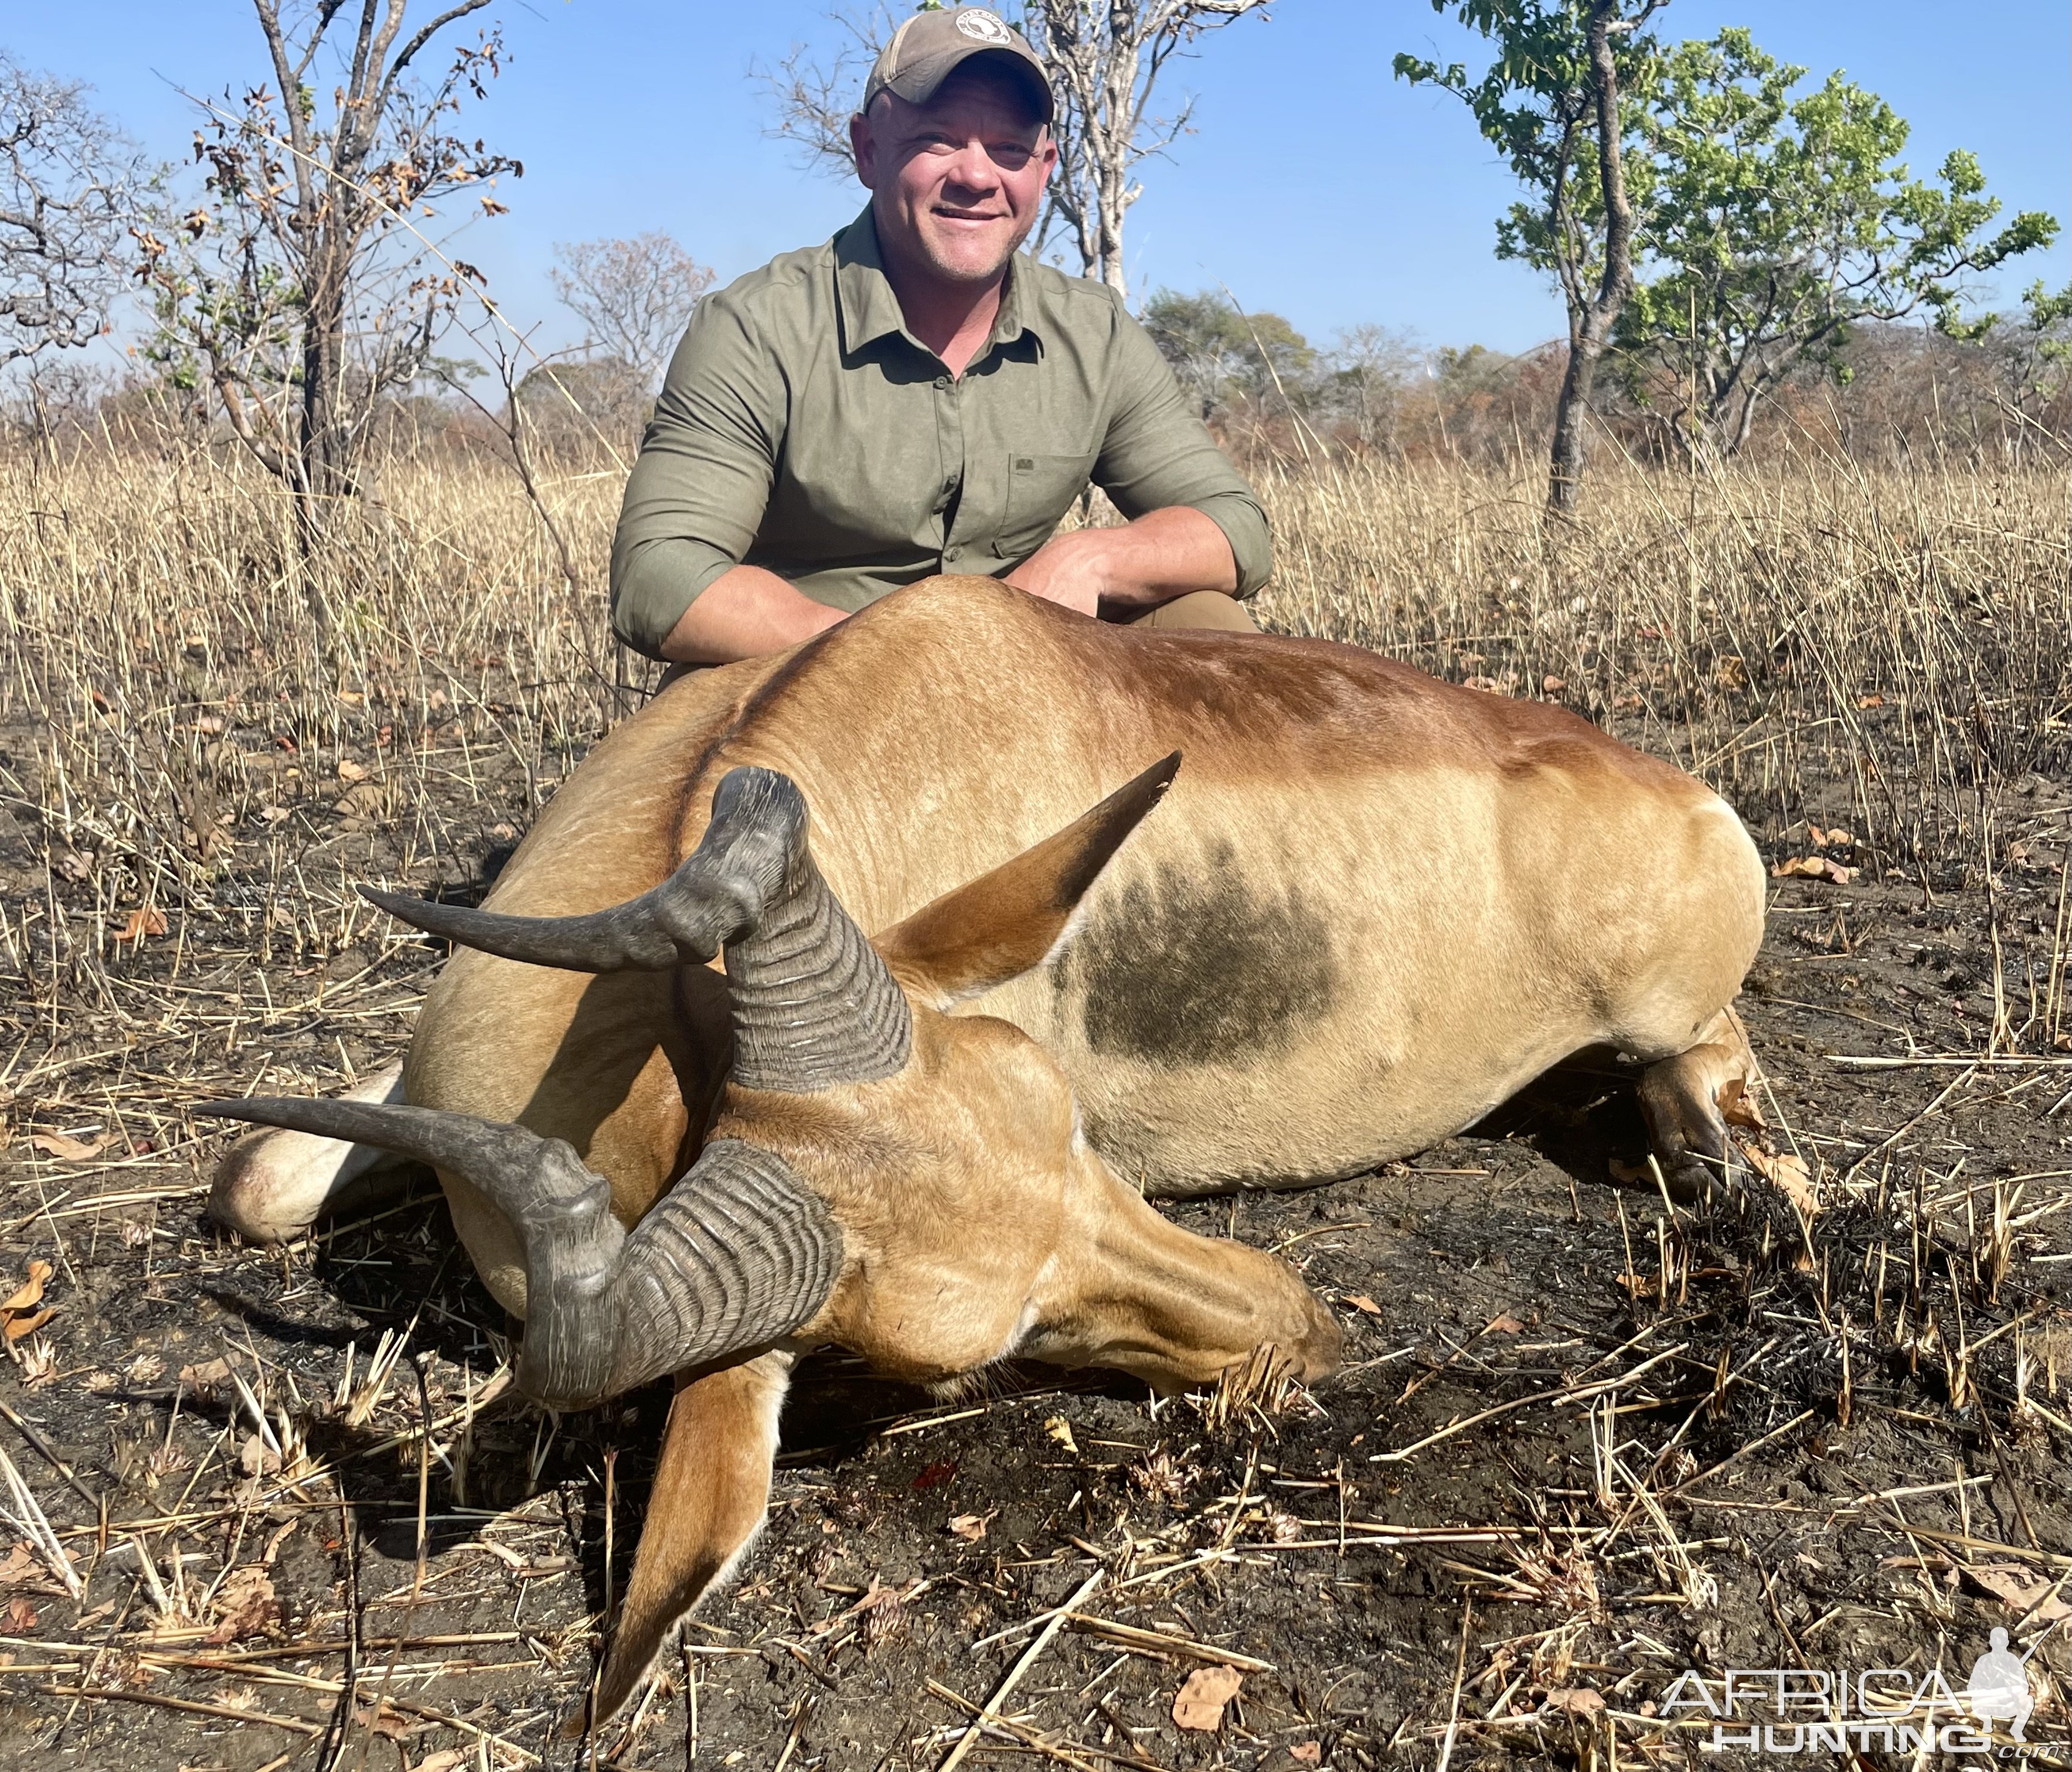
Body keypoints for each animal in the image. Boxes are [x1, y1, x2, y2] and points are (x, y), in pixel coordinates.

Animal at [202, 580, 1773, 1716]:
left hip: (1673, 1027)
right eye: (973, 1357)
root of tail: (1685, 792)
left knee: (1715, 1094)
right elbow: (255, 1187)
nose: (1313, 1333)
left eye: (1068, 1116)